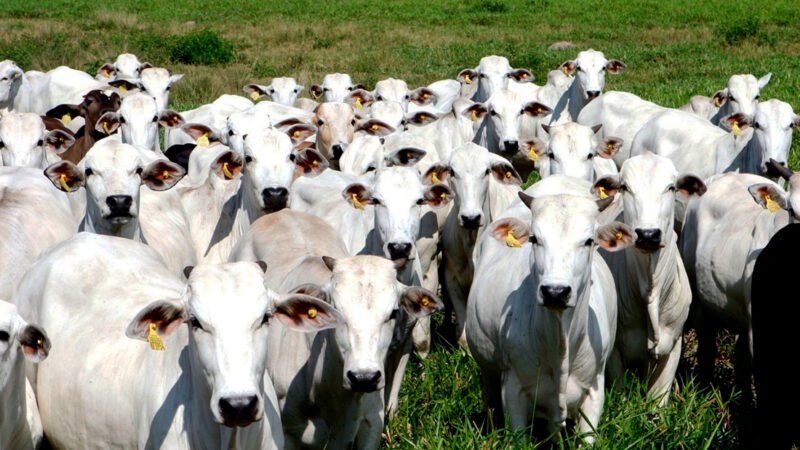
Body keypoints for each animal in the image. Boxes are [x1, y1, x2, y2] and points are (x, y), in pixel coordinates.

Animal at [593, 153, 705, 405]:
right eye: (624, 187)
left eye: (671, 187)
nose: (648, 235)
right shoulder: (614, 353)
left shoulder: (673, 345)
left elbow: (657, 402)